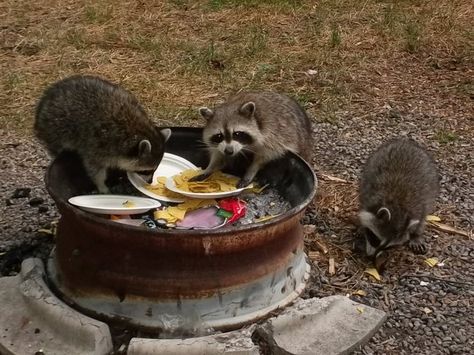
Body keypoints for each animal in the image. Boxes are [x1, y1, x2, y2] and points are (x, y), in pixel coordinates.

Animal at [33, 74, 170, 195]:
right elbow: (95, 169)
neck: (136, 129)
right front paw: (101, 186)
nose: (150, 182)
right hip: (54, 129)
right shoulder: (98, 145)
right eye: (147, 170)